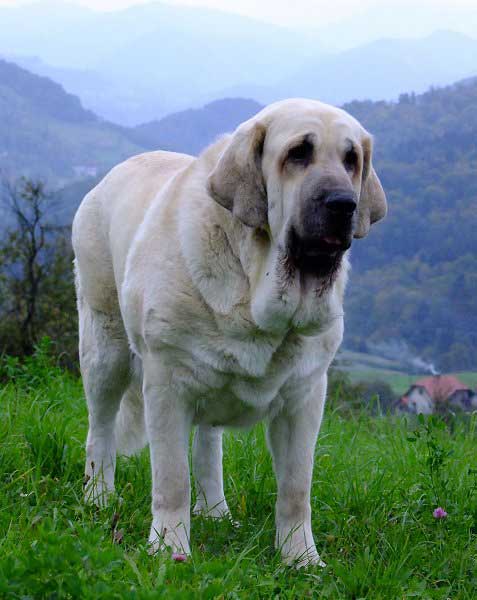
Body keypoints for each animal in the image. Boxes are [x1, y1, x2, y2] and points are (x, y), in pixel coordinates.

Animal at [73, 98, 386, 568]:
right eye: (298, 153)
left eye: (352, 160)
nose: (343, 203)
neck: (254, 284)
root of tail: (107, 178)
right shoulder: (166, 388)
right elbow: (172, 480)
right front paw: (169, 550)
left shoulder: (305, 398)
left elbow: (296, 488)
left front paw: (300, 559)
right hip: (104, 349)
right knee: (101, 433)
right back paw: (98, 498)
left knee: (208, 446)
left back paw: (215, 510)